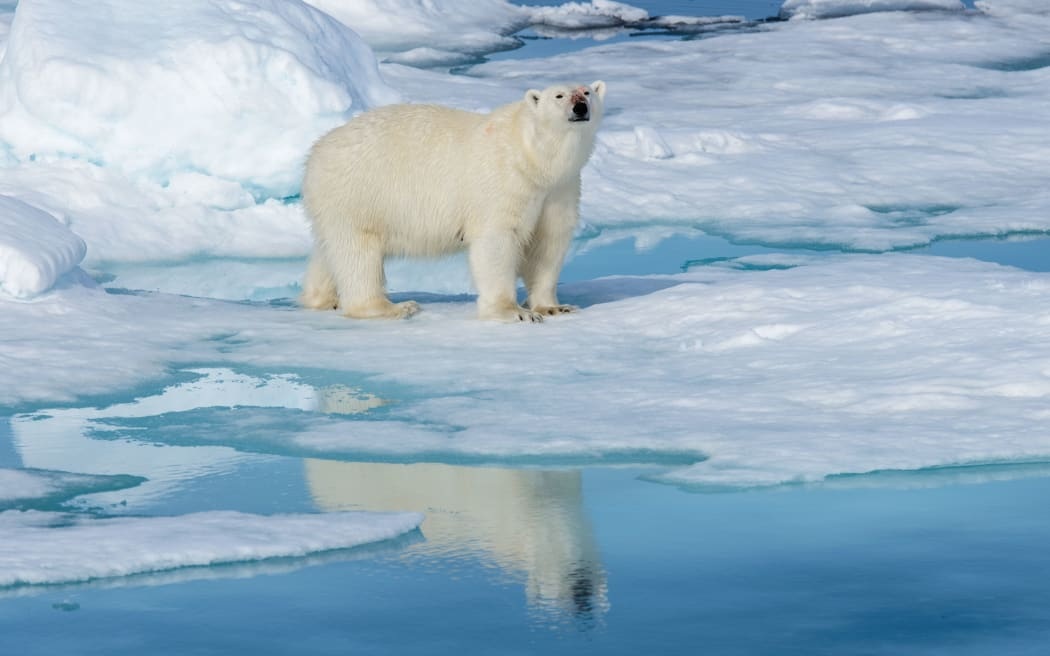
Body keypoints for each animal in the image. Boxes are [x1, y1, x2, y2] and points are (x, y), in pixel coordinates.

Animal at [300, 80, 604, 321]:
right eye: (559, 96)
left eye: (587, 92)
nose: (580, 107)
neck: (534, 158)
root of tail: (316, 151)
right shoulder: (503, 181)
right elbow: (498, 239)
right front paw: (513, 312)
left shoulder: (559, 188)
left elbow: (548, 242)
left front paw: (553, 307)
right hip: (359, 191)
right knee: (358, 251)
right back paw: (393, 307)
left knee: (330, 249)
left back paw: (322, 298)